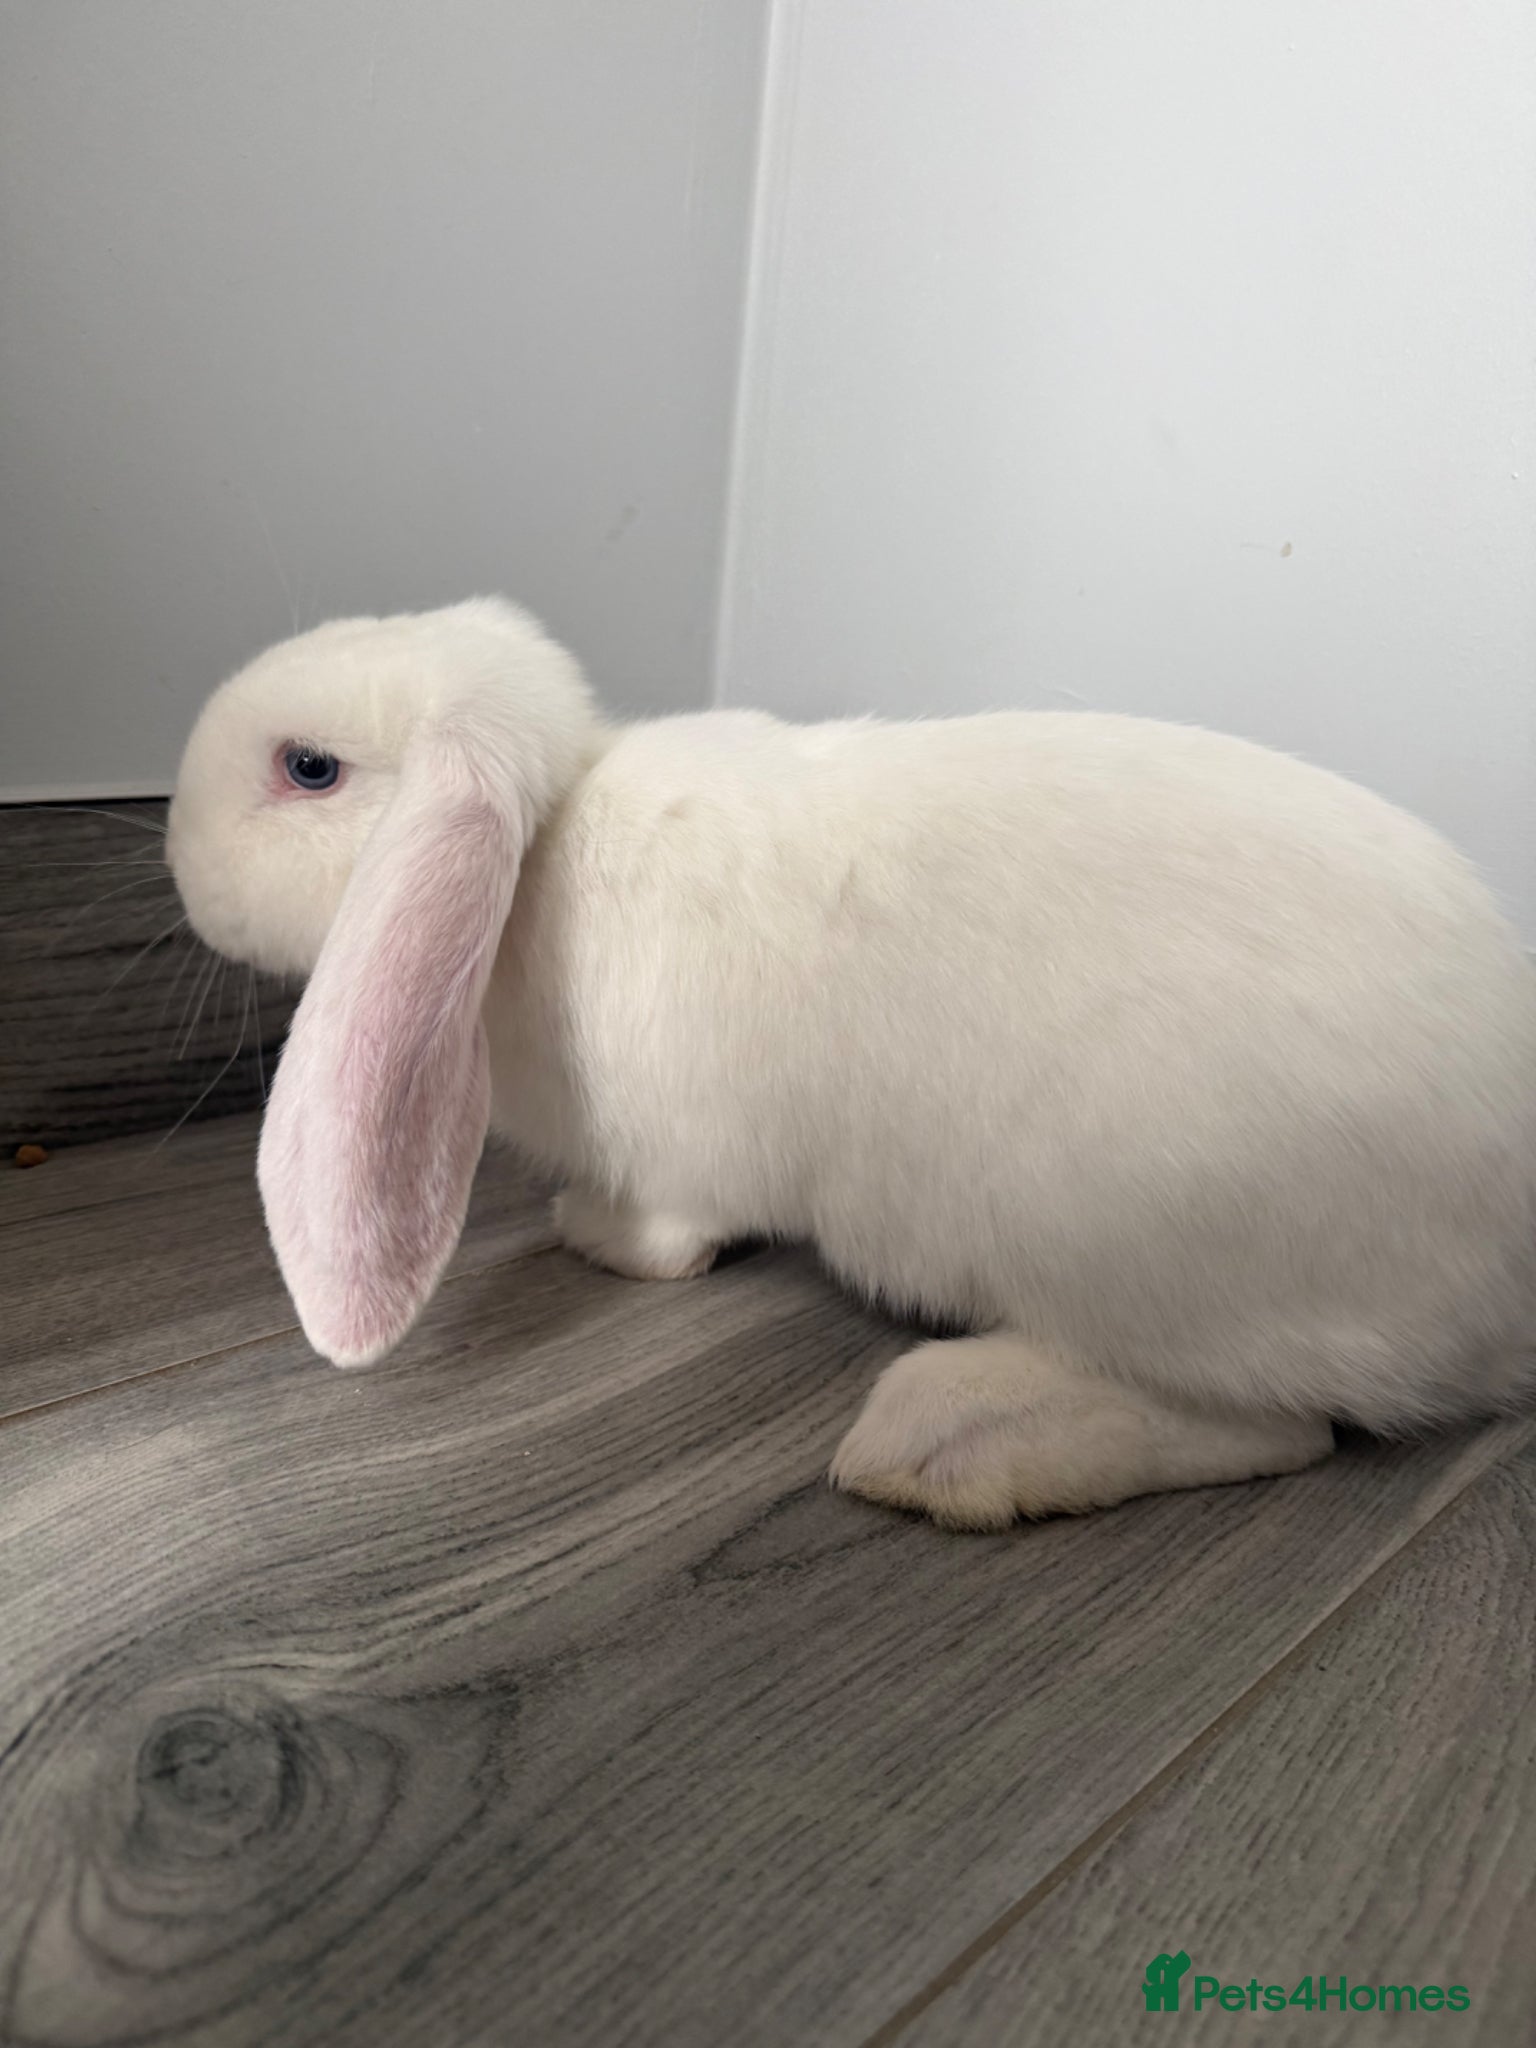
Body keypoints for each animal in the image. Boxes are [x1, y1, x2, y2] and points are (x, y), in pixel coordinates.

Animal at [166, 597, 1536, 1529]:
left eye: (307, 768)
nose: (174, 855)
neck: (539, 856)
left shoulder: (682, 1157)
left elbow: (672, 1234)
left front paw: (589, 1234)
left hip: (1144, 1251)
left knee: (1281, 1425)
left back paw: (947, 1446)